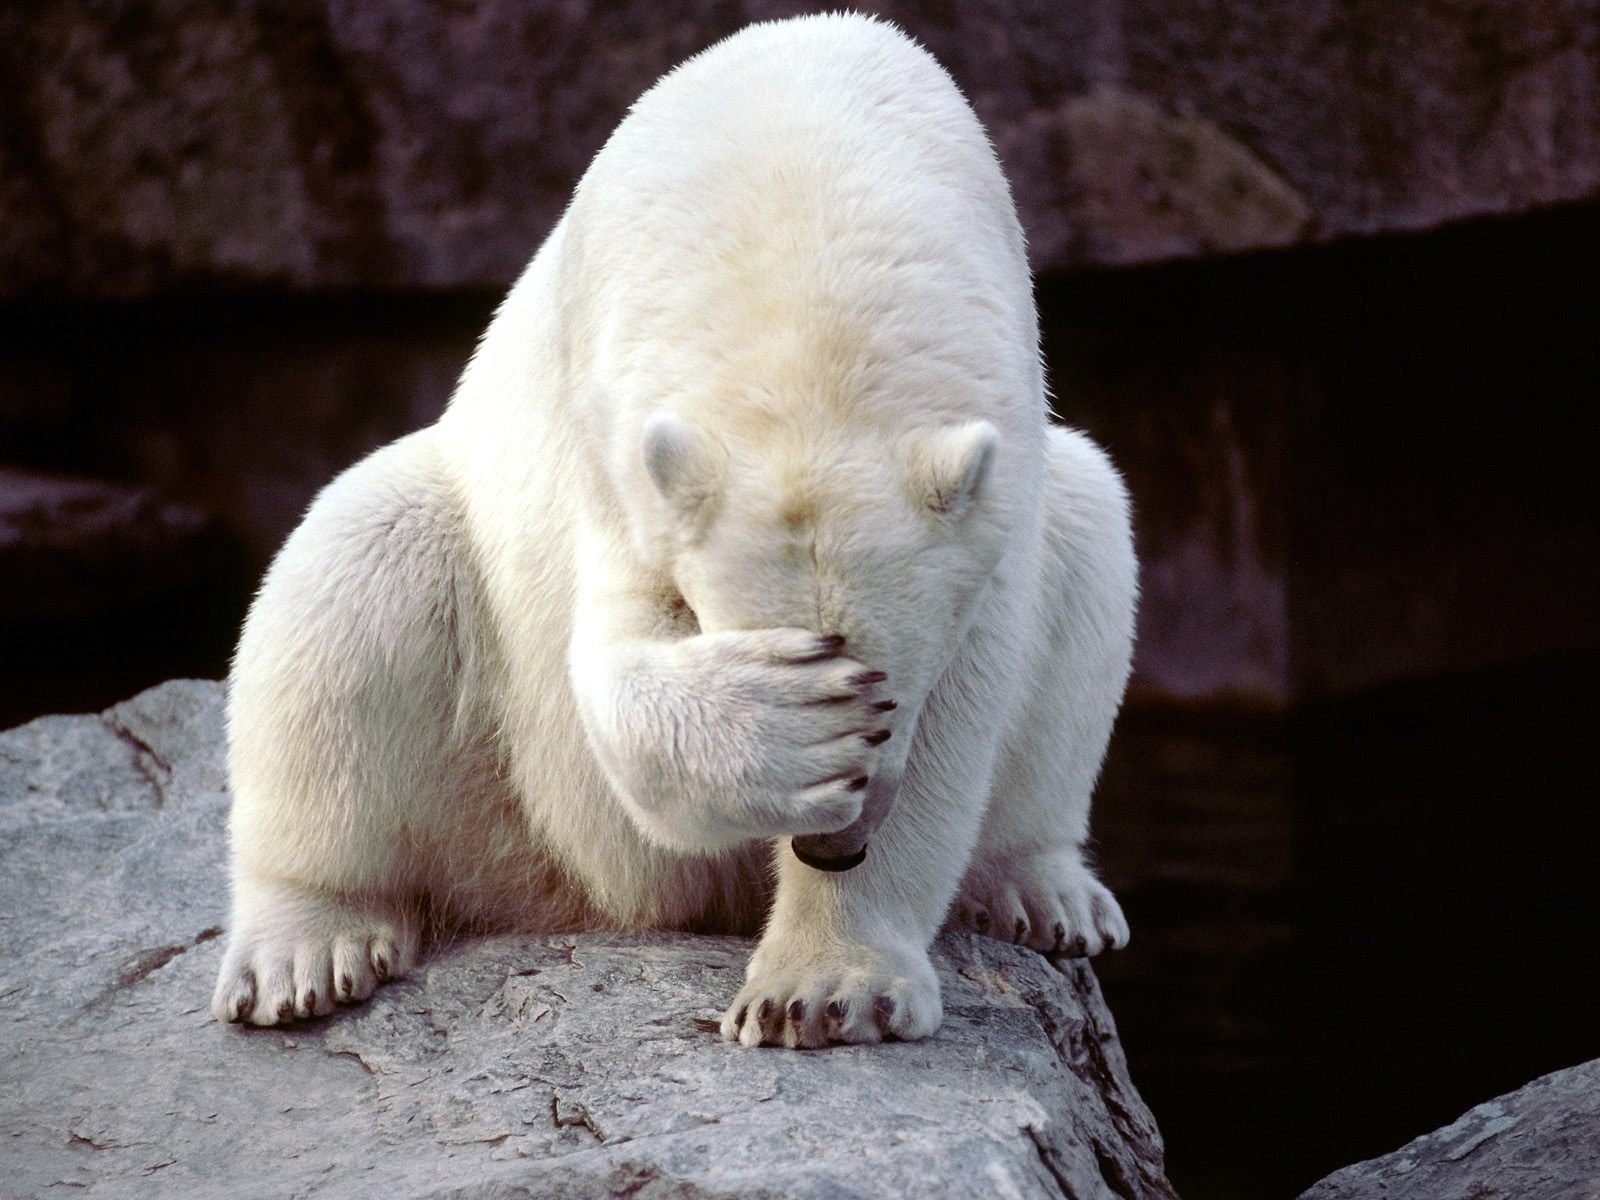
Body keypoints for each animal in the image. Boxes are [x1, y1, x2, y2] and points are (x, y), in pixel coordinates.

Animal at [211, 12, 1137, 1049]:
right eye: (833, 675)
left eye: (891, 691)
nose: (834, 847)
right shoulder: (615, 435)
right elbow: (614, 663)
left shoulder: (999, 466)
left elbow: (968, 701)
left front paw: (821, 990)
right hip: (495, 767)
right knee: (355, 568)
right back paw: (303, 949)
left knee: (1092, 530)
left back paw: (1044, 890)